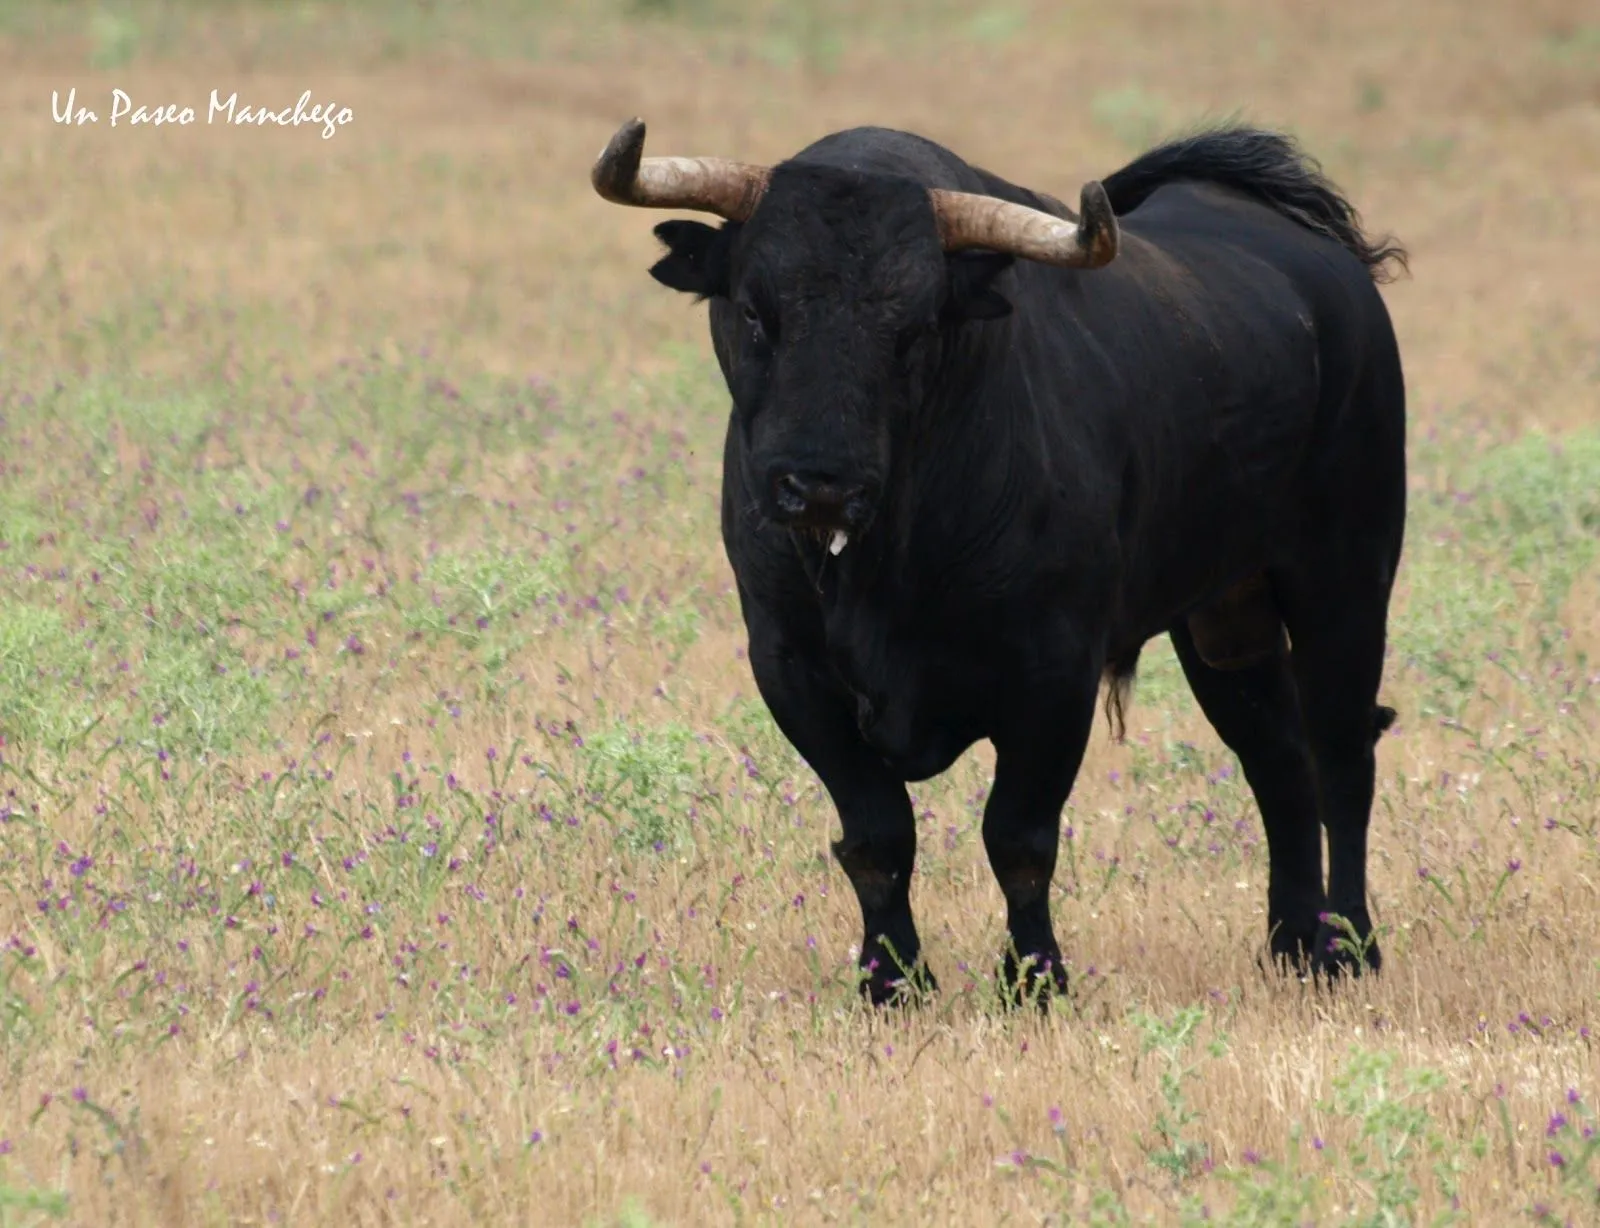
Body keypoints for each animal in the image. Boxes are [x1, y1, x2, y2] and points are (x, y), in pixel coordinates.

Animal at [595, 115, 1408, 1004]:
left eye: (916, 329)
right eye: (752, 310)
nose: (816, 484)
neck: (883, 568)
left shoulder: (1053, 672)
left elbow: (1019, 837)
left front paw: (1036, 980)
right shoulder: (789, 666)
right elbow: (876, 835)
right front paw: (891, 980)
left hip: (1345, 579)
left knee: (1342, 757)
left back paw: (1349, 945)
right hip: (1225, 617)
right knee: (1278, 760)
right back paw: (1293, 942)